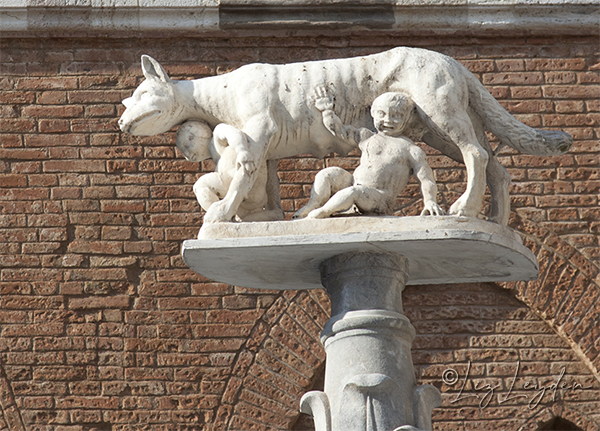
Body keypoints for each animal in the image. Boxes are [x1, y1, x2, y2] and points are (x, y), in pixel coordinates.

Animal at [118, 47, 572, 226]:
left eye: (140, 95)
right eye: (127, 100)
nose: (121, 122)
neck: (220, 92)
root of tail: (455, 63)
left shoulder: (259, 132)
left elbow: (245, 170)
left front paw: (221, 214)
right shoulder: (268, 147)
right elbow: (269, 181)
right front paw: (271, 217)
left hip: (441, 111)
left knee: (476, 153)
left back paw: (463, 208)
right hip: (441, 121)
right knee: (495, 162)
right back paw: (495, 220)